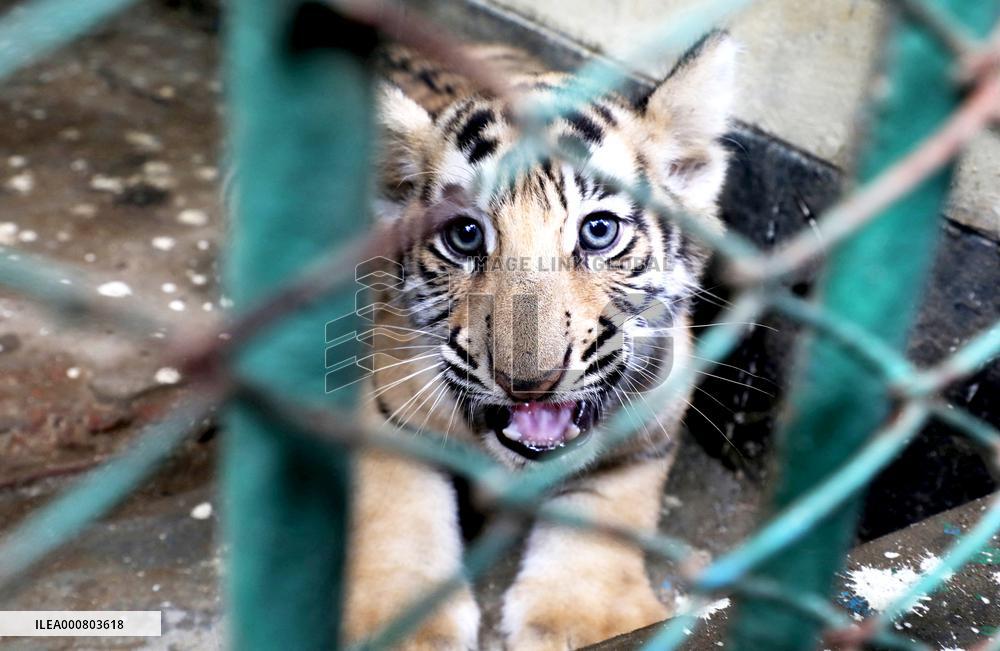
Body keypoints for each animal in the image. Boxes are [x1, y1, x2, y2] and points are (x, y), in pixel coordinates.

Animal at [343, 31, 737, 651]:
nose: (527, 384)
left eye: (599, 231)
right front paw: (405, 628)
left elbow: (607, 510)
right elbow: (399, 508)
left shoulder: (649, 428)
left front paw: (581, 618)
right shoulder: (384, 407)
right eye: (464, 235)